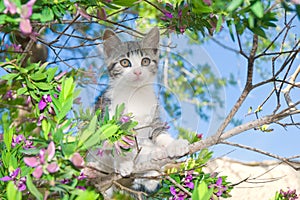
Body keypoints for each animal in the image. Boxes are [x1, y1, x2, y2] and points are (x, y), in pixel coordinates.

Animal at [88, 27, 189, 196]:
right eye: (124, 62)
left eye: (145, 61)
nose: (137, 72)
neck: (135, 94)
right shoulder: (107, 112)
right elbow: (115, 141)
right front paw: (123, 162)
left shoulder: (154, 116)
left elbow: (159, 132)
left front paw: (174, 144)